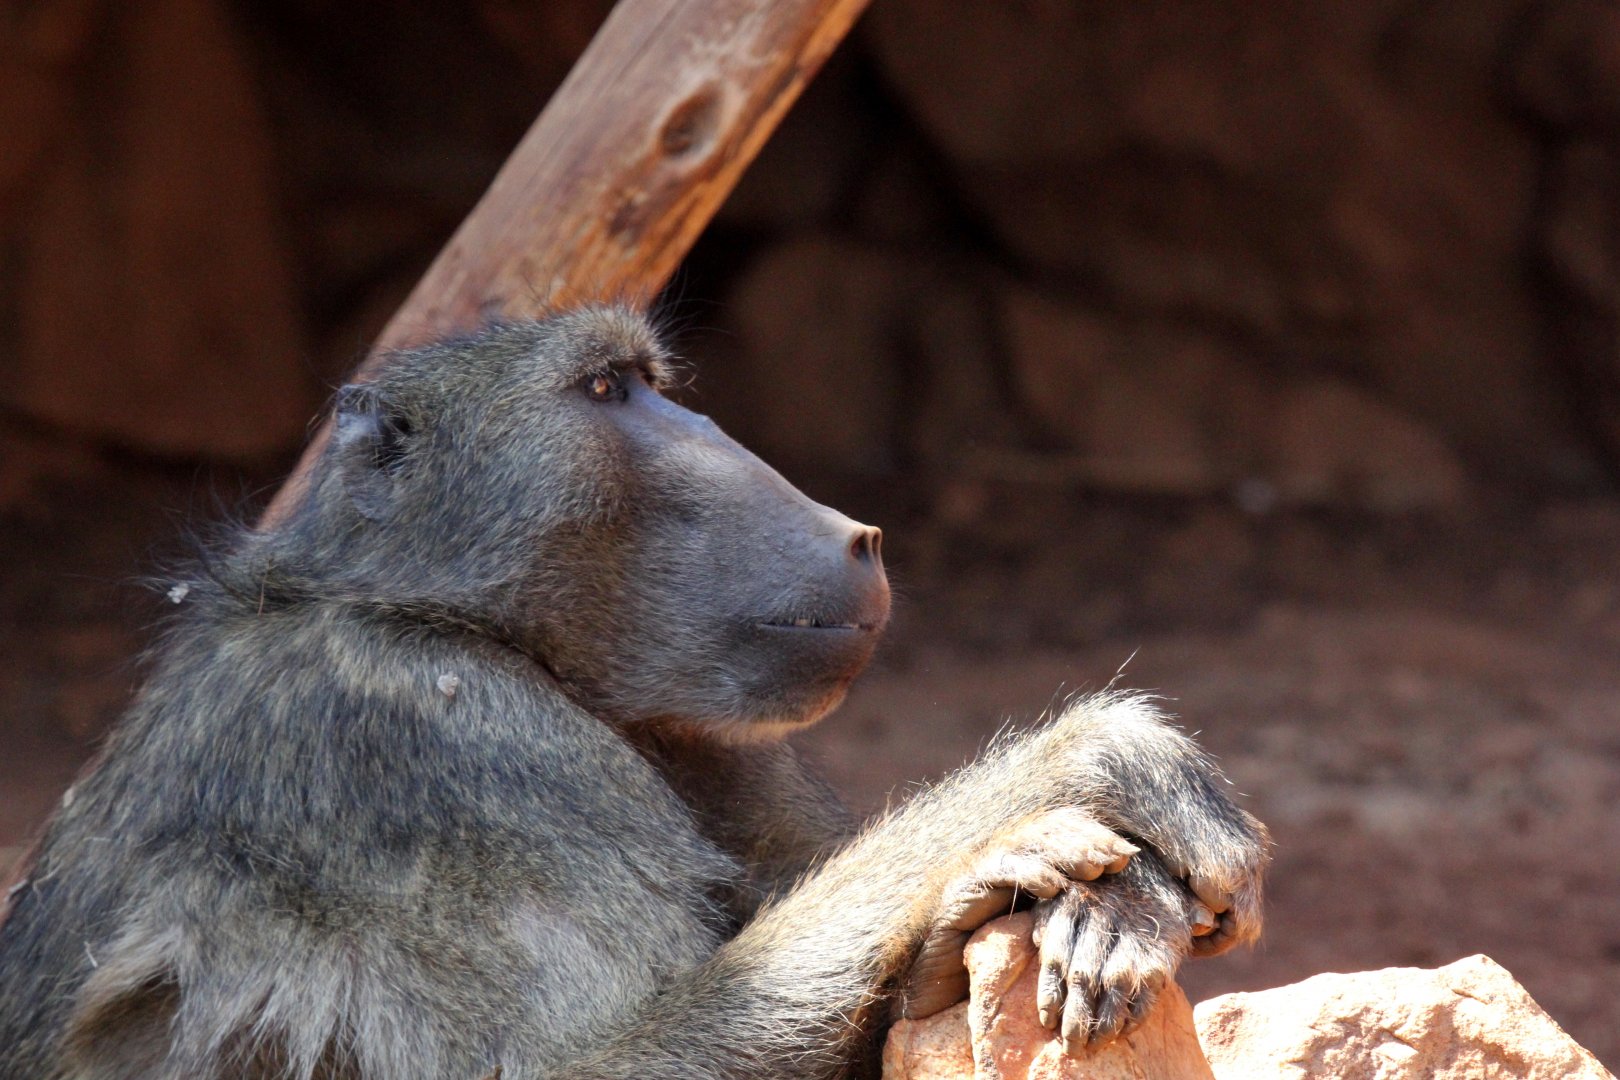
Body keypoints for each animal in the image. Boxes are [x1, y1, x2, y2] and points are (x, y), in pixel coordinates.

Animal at [0, 307, 1268, 1079]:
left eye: (650, 382)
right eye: (605, 388)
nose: (854, 536)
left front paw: (1106, 912)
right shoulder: (428, 743)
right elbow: (584, 1067)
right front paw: (1057, 788)